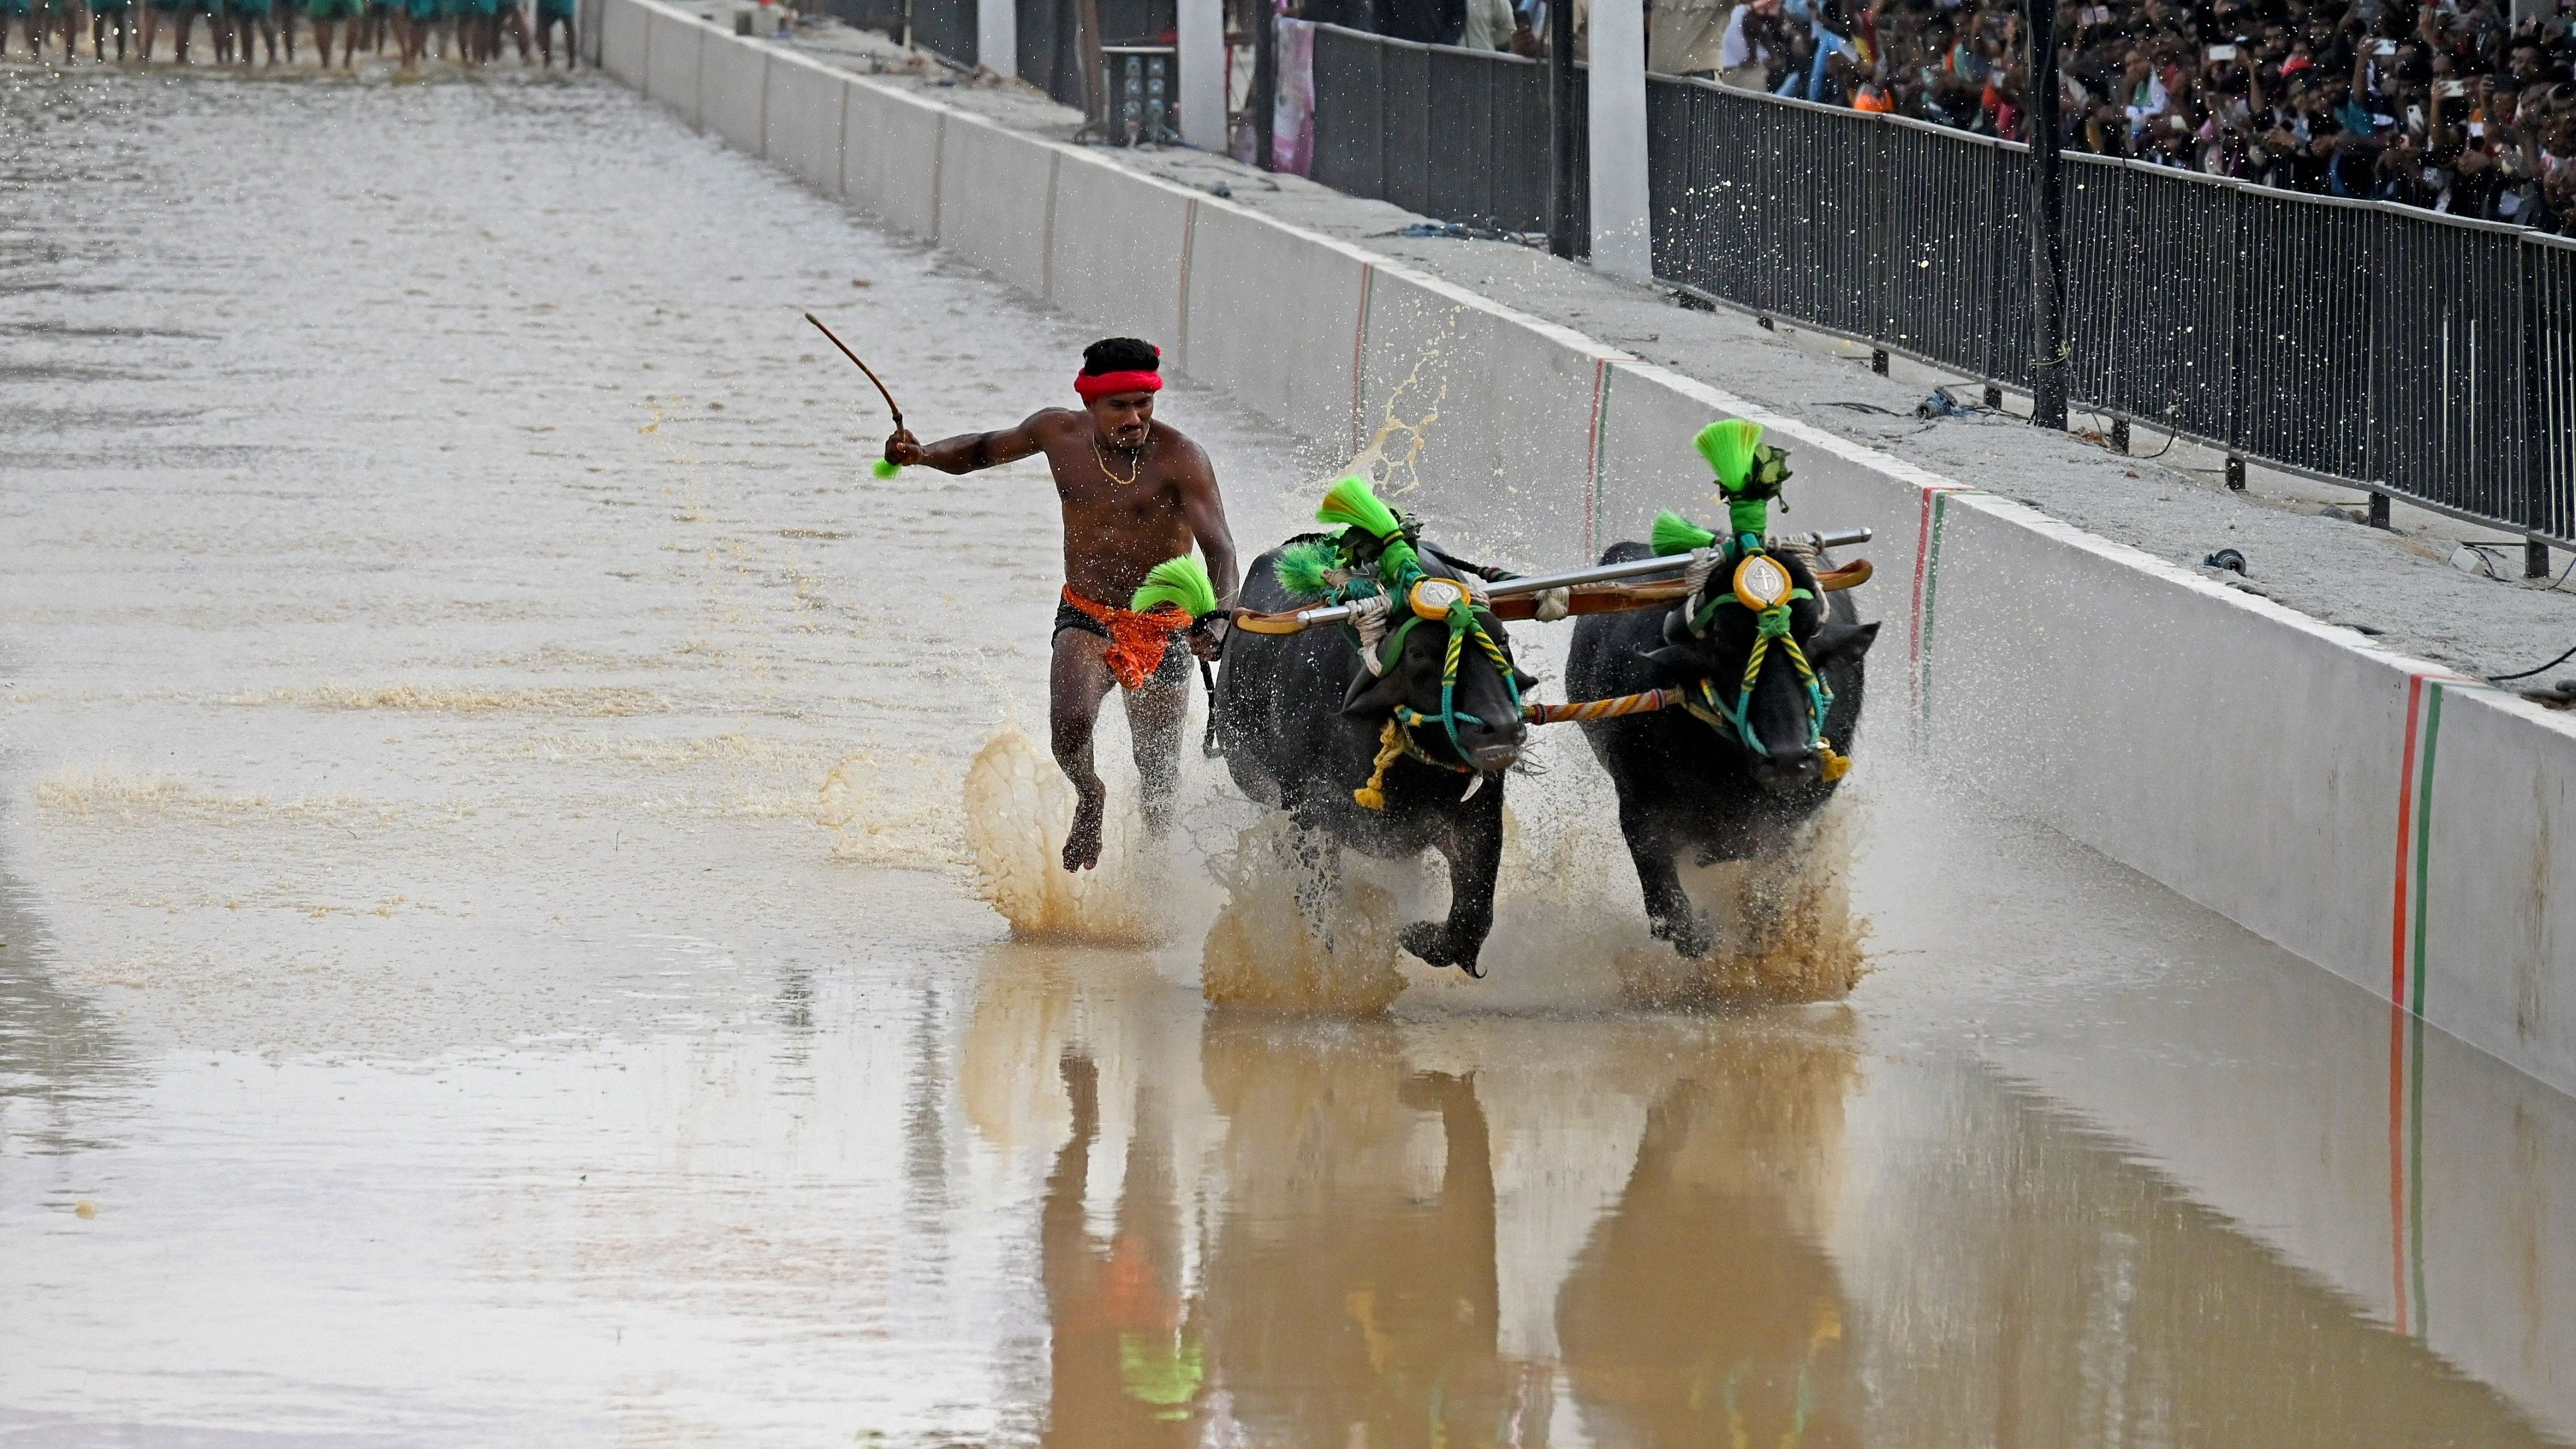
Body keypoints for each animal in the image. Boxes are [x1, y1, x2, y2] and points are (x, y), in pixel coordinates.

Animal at [1210, 533, 1525, 969]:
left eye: (1502, 641)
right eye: (1418, 653)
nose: (1503, 728)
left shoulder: (1479, 816)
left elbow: (1472, 919)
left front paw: (1417, 936)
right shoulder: (1306, 815)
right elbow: (1316, 908)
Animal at [1555, 536, 1885, 954]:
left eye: (1810, 640)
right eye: (1725, 647)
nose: (1788, 759)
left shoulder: (1794, 818)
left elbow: (1767, 892)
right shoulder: (1639, 806)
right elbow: (1674, 918)